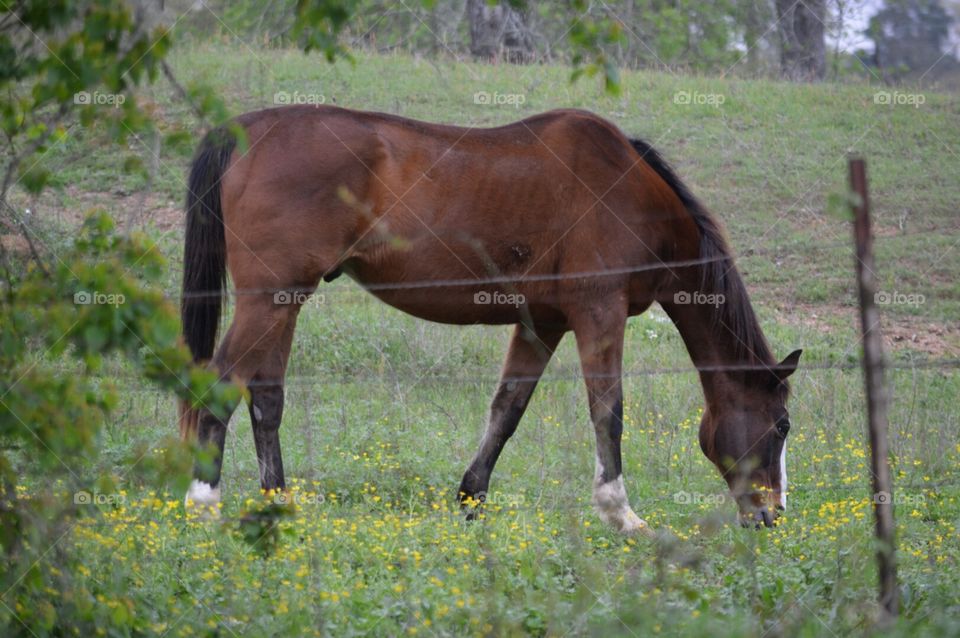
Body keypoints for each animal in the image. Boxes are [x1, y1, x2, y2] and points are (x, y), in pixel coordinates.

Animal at [178, 105, 802, 532]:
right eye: (781, 426)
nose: (772, 515)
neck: (632, 194)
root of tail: (245, 129)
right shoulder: (599, 314)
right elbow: (608, 413)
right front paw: (621, 515)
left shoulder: (541, 324)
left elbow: (508, 410)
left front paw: (471, 500)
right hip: (268, 299)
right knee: (223, 384)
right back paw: (204, 503)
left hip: (284, 301)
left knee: (266, 398)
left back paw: (277, 505)